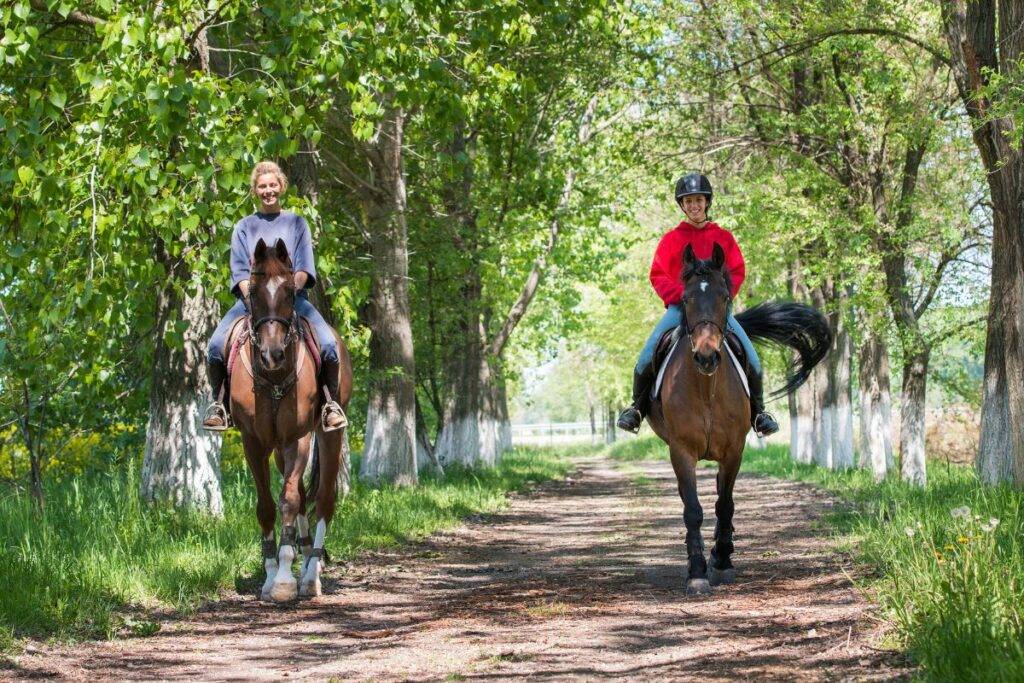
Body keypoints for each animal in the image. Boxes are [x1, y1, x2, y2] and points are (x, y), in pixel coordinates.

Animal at [228, 237, 353, 602]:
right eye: (254, 292)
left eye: (288, 291)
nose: (273, 354)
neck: (273, 379)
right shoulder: (254, 442)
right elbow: (267, 505)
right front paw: (271, 576)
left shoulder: (298, 437)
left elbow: (290, 500)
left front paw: (285, 580)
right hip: (280, 451)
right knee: (296, 490)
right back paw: (304, 556)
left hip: (327, 435)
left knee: (323, 500)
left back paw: (311, 576)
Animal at [647, 243, 831, 594]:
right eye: (686, 298)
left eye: (724, 297)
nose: (706, 357)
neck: (706, 389)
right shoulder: (681, 451)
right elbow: (693, 510)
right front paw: (697, 571)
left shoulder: (734, 450)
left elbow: (725, 504)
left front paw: (720, 562)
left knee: (722, 495)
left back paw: (725, 549)